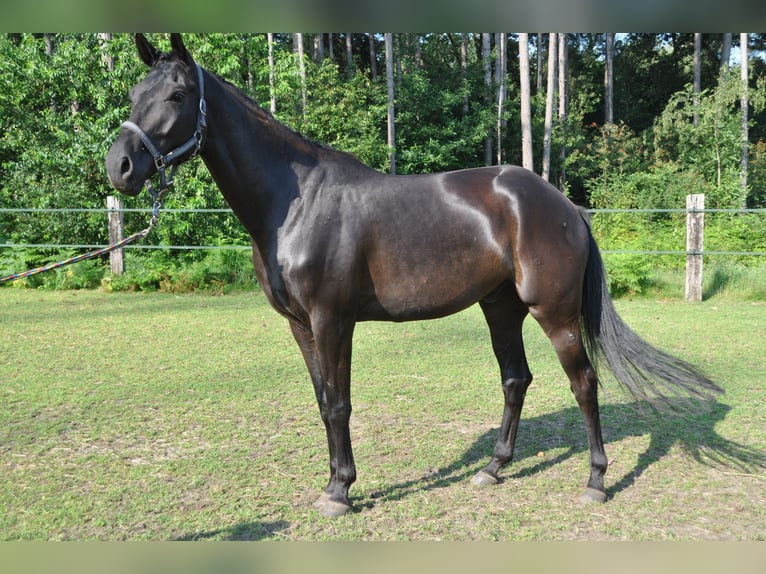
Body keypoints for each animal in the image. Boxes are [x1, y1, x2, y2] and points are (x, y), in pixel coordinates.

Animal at [105, 36, 724, 520]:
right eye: (134, 94)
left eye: (177, 95)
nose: (120, 167)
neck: (295, 202)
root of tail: (564, 205)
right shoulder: (301, 326)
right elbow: (323, 402)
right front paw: (334, 483)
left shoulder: (333, 321)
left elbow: (339, 404)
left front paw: (340, 492)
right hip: (500, 308)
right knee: (516, 379)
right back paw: (493, 469)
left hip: (554, 313)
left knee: (585, 383)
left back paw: (595, 482)